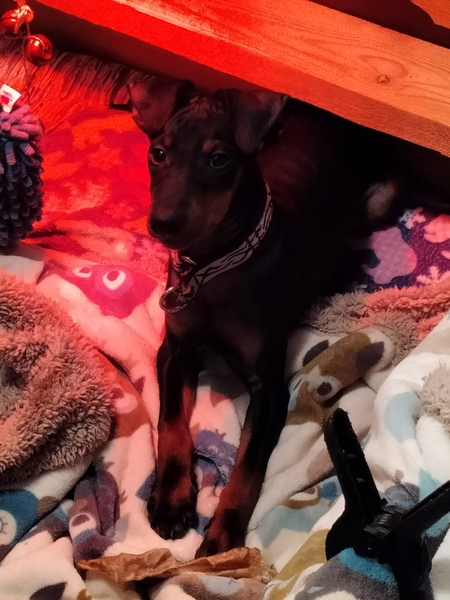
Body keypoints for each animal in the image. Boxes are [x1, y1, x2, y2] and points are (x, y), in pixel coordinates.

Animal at [128, 77, 403, 557]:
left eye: (219, 159)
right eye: (158, 153)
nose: (163, 224)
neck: (213, 265)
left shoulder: (270, 389)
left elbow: (247, 468)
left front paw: (221, 541)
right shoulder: (175, 349)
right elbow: (170, 423)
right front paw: (170, 501)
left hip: (382, 198)